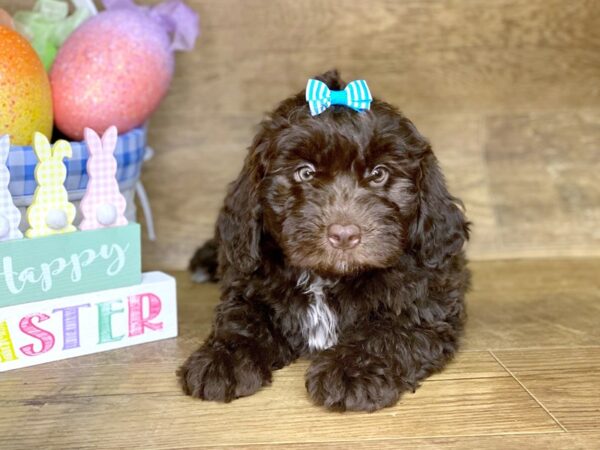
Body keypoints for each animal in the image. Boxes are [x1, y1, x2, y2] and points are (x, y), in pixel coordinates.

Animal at [178, 69, 468, 412]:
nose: (344, 234)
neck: (327, 277)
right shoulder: (249, 285)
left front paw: (352, 369)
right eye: (305, 173)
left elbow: (388, 331)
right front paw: (222, 358)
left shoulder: (424, 305)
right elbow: (241, 318)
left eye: (379, 174)